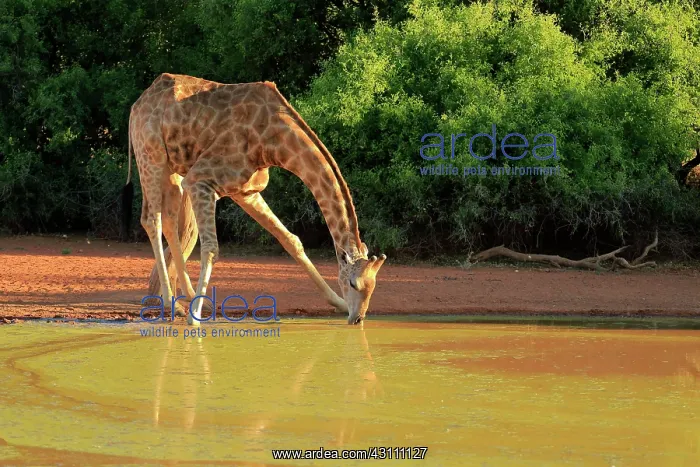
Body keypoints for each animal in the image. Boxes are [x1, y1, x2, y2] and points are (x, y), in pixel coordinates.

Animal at [122, 73, 386, 325]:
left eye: (373, 286)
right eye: (353, 283)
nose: (357, 318)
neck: (273, 141)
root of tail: (136, 105)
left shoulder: (245, 191)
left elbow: (291, 240)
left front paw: (339, 303)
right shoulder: (200, 180)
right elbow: (211, 248)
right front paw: (194, 319)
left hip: (172, 168)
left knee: (168, 218)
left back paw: (187, 299)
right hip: (151, 157)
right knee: (152, 219)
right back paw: (172, 304)